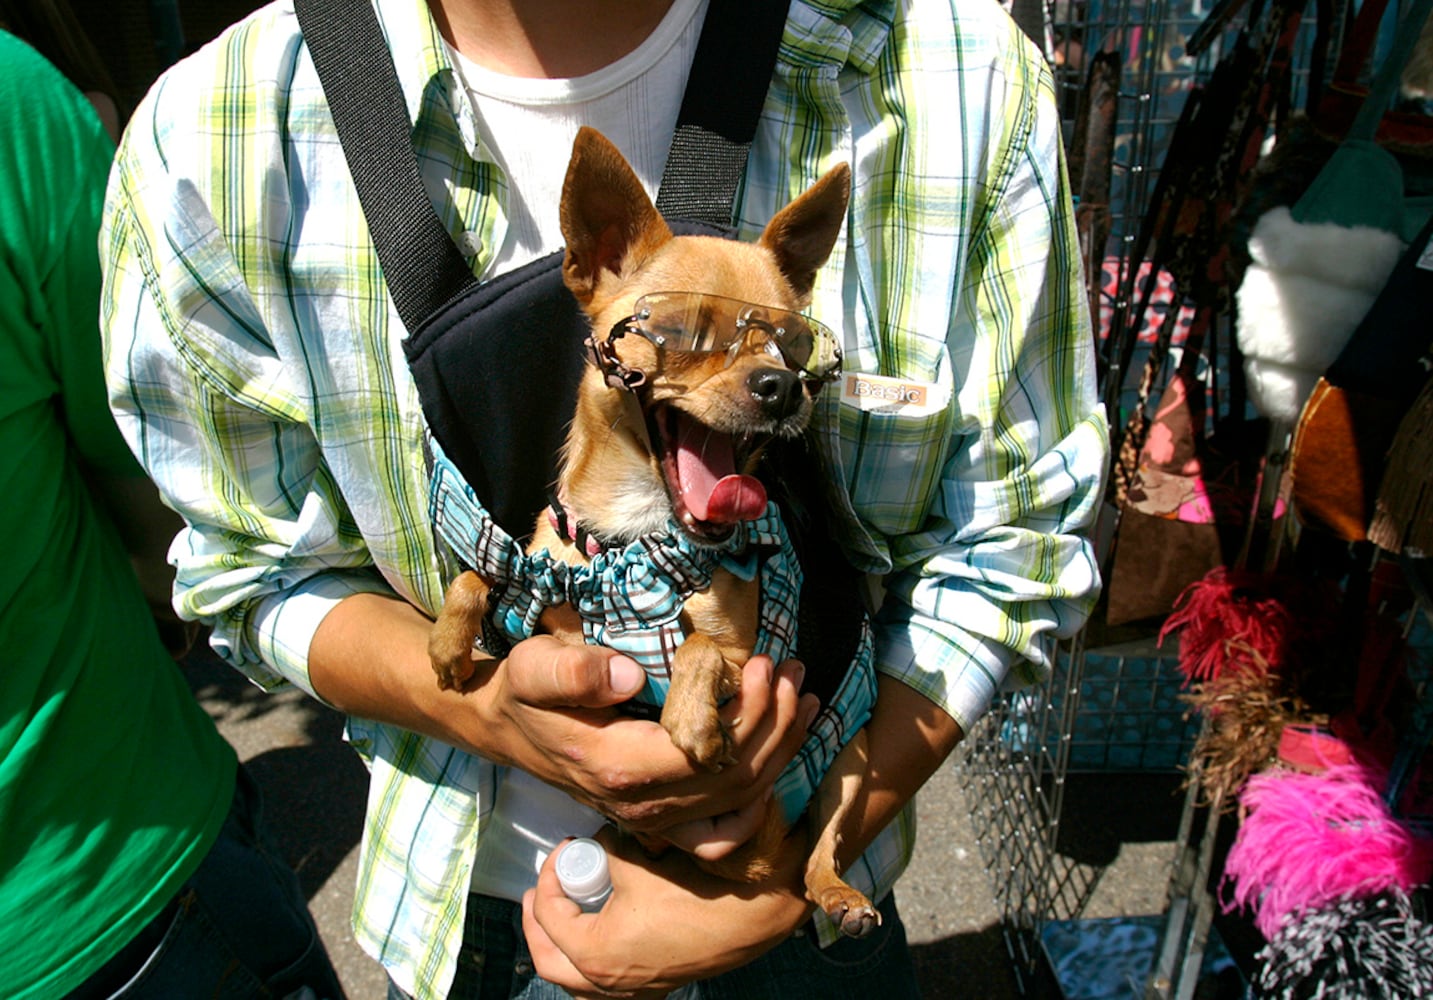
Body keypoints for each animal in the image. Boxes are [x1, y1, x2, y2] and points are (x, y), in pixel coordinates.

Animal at [424, 126, 876, 934]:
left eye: (793, 346)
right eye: (681, 332)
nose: (780, 386)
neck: (635, 536)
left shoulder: (751, 656)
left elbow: (702, 648)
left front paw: (691, 719)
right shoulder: (537, 608)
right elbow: (483, 572)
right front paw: (448, 643)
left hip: (847, 759)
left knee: (820, 849)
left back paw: (838, 896)